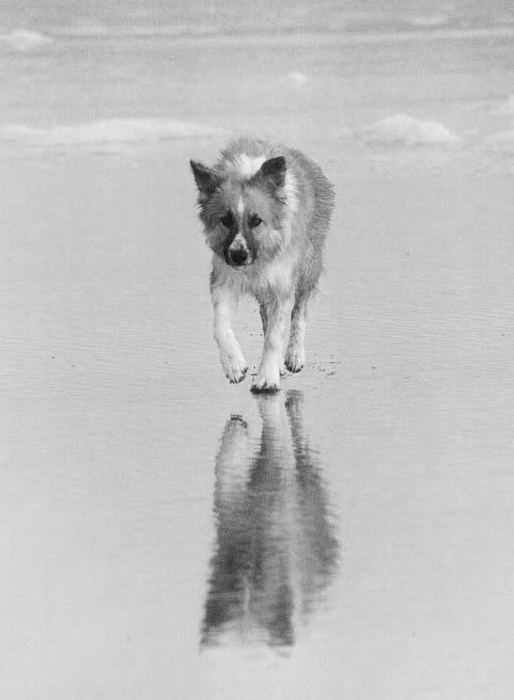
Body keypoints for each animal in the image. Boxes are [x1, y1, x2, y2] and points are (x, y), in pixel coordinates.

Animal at [189, 137, 332, 394]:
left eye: (256, 221)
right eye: (225, 220)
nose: (238, 255)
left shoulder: (281, 285)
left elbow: (276, 336)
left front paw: (267, 377)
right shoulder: (224, 280)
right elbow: (219, 326)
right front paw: (234, 365)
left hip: (308, 266)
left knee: (299, 311)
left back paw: (294, 356)